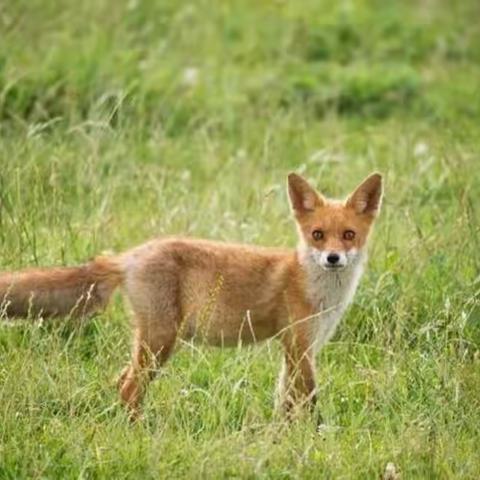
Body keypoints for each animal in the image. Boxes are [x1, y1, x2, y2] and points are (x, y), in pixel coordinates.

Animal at [0, 172, 382, 420]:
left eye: (348, 235)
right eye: (317, 234)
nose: (333, 258)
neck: (315, 287)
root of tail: (130, 255)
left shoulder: (300, 348)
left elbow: (285, 401)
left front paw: (283, 436)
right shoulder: (299, 346)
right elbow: (311, 401)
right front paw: (318, 436)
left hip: (151, 341)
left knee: (120, 382)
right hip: (161, 341)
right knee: (129, 388)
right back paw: (138, 434)